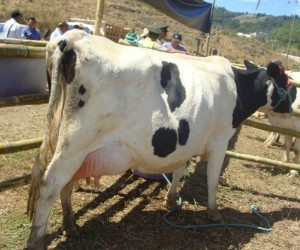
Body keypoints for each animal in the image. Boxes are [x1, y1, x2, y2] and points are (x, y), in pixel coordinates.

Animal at [26, 30, 292, 249]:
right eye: (287, 81)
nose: (290, 107)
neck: (236, 86)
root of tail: (73, 37)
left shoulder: (186, 141)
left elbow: (179, 170)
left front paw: (171, 199)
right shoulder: (220, 140)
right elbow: (213, 179)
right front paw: (214, 212)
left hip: (67, 142)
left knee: (65, 185)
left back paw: (70, 226)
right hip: (76, 142)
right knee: (49, 185)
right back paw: (36, 241)